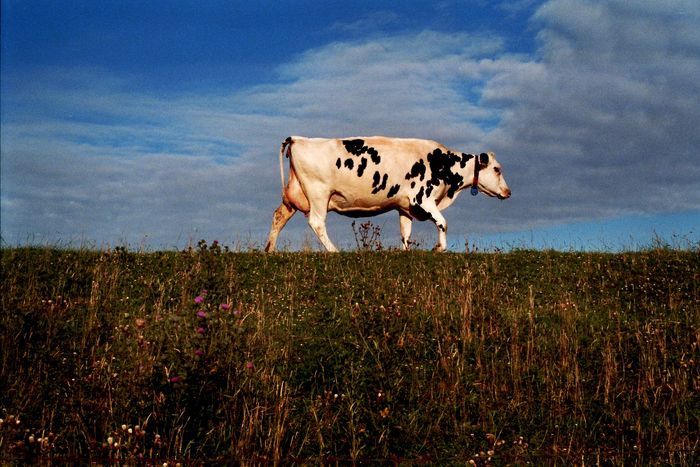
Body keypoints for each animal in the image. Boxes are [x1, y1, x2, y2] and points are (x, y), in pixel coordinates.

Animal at [266, 135, 512, 252]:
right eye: (497, 169)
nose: (508, 192)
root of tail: (298, 138)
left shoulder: (406, 207)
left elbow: (405, 234)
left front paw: (405, 252)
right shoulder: (422, 198)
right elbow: (443, 223)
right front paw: (439, 248)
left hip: (294, 197)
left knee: (278, 217)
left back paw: (269, 250)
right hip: (319, 193)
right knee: (317, 222)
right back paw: (334, 251)